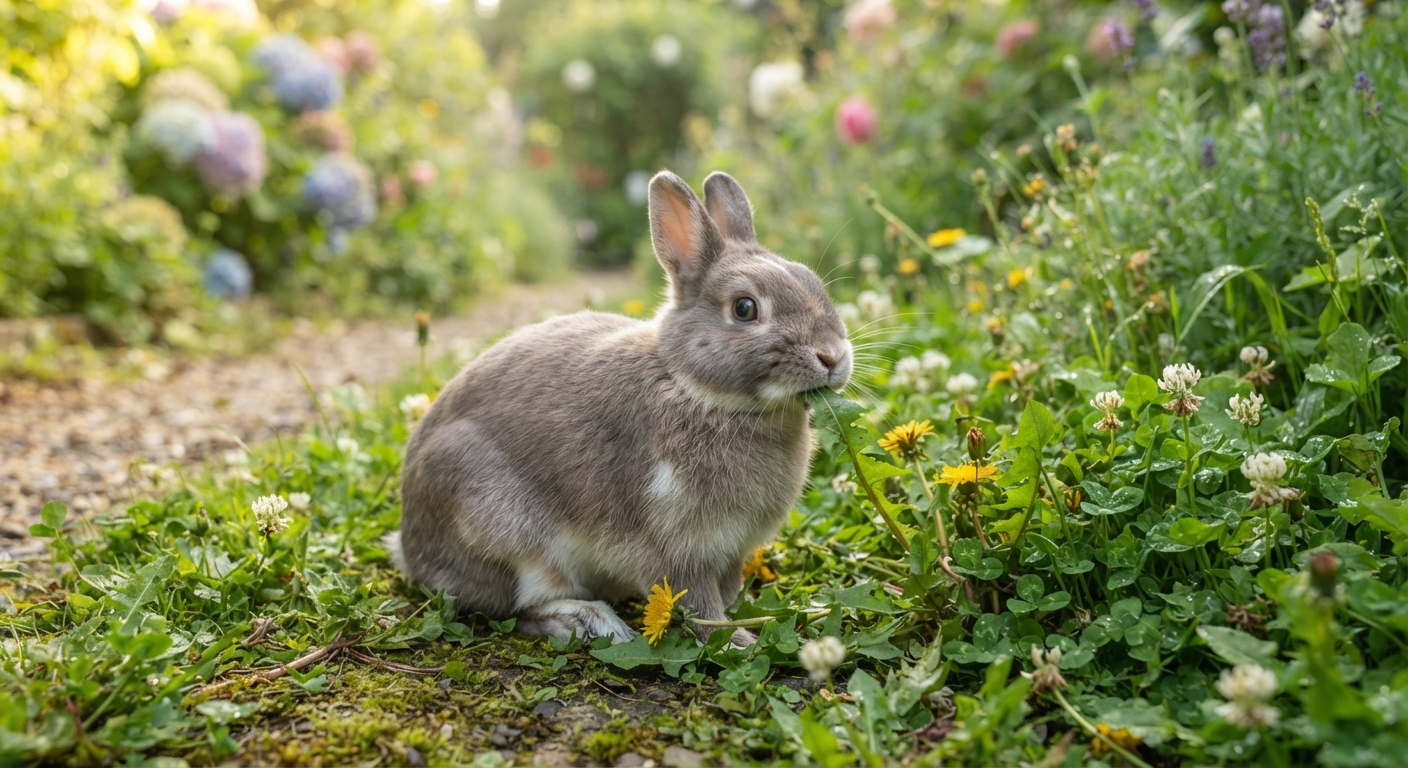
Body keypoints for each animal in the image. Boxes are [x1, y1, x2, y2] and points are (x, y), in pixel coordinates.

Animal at [389, 170, 852, 646]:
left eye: (812, 282)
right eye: (744, 308)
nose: (832, 357)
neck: (692, 389)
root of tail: (411, 549)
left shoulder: (730, 552)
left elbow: (726, 590)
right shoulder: (675, 546)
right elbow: (701, 609)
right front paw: (740, 640)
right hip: (502, 530)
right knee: (513, 607)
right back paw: (591, 622)